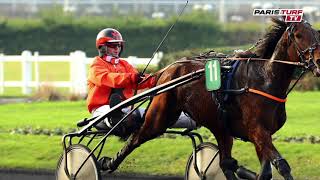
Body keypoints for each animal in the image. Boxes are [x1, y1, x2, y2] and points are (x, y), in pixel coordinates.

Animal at [102, 18, 320, 180]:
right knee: (136, 137)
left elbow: (265, 172)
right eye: (299, 35)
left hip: (219, 126)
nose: (318, 62)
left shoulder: (262, 135)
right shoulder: (257, 130)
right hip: (160, 117)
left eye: (317, 33)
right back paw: (107, 163)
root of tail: (167, 69)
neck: (264, 78)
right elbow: (282, 166)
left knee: (225, 163)